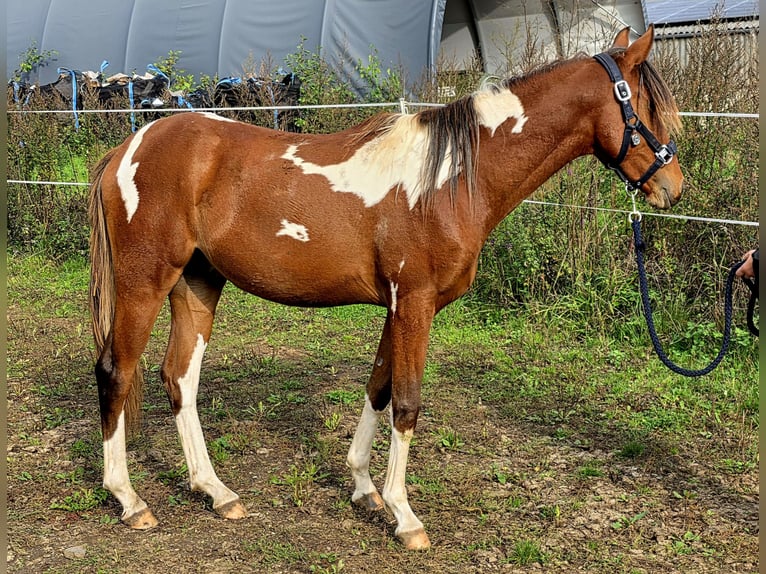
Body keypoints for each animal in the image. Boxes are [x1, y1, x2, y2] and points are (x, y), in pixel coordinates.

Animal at [88, 26, 682, 550]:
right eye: (647, 107)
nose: (672, 187)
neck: (449, 179)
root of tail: (128, 147)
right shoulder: (415, 303)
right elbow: (407, 402)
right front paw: (405, 516)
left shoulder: (397, 307)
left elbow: (377, 389)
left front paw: (364, 488)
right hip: (145, 282)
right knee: (116, 371)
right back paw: (130, 500)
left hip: (197, 283)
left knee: (179, 379)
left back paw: (215, 491)